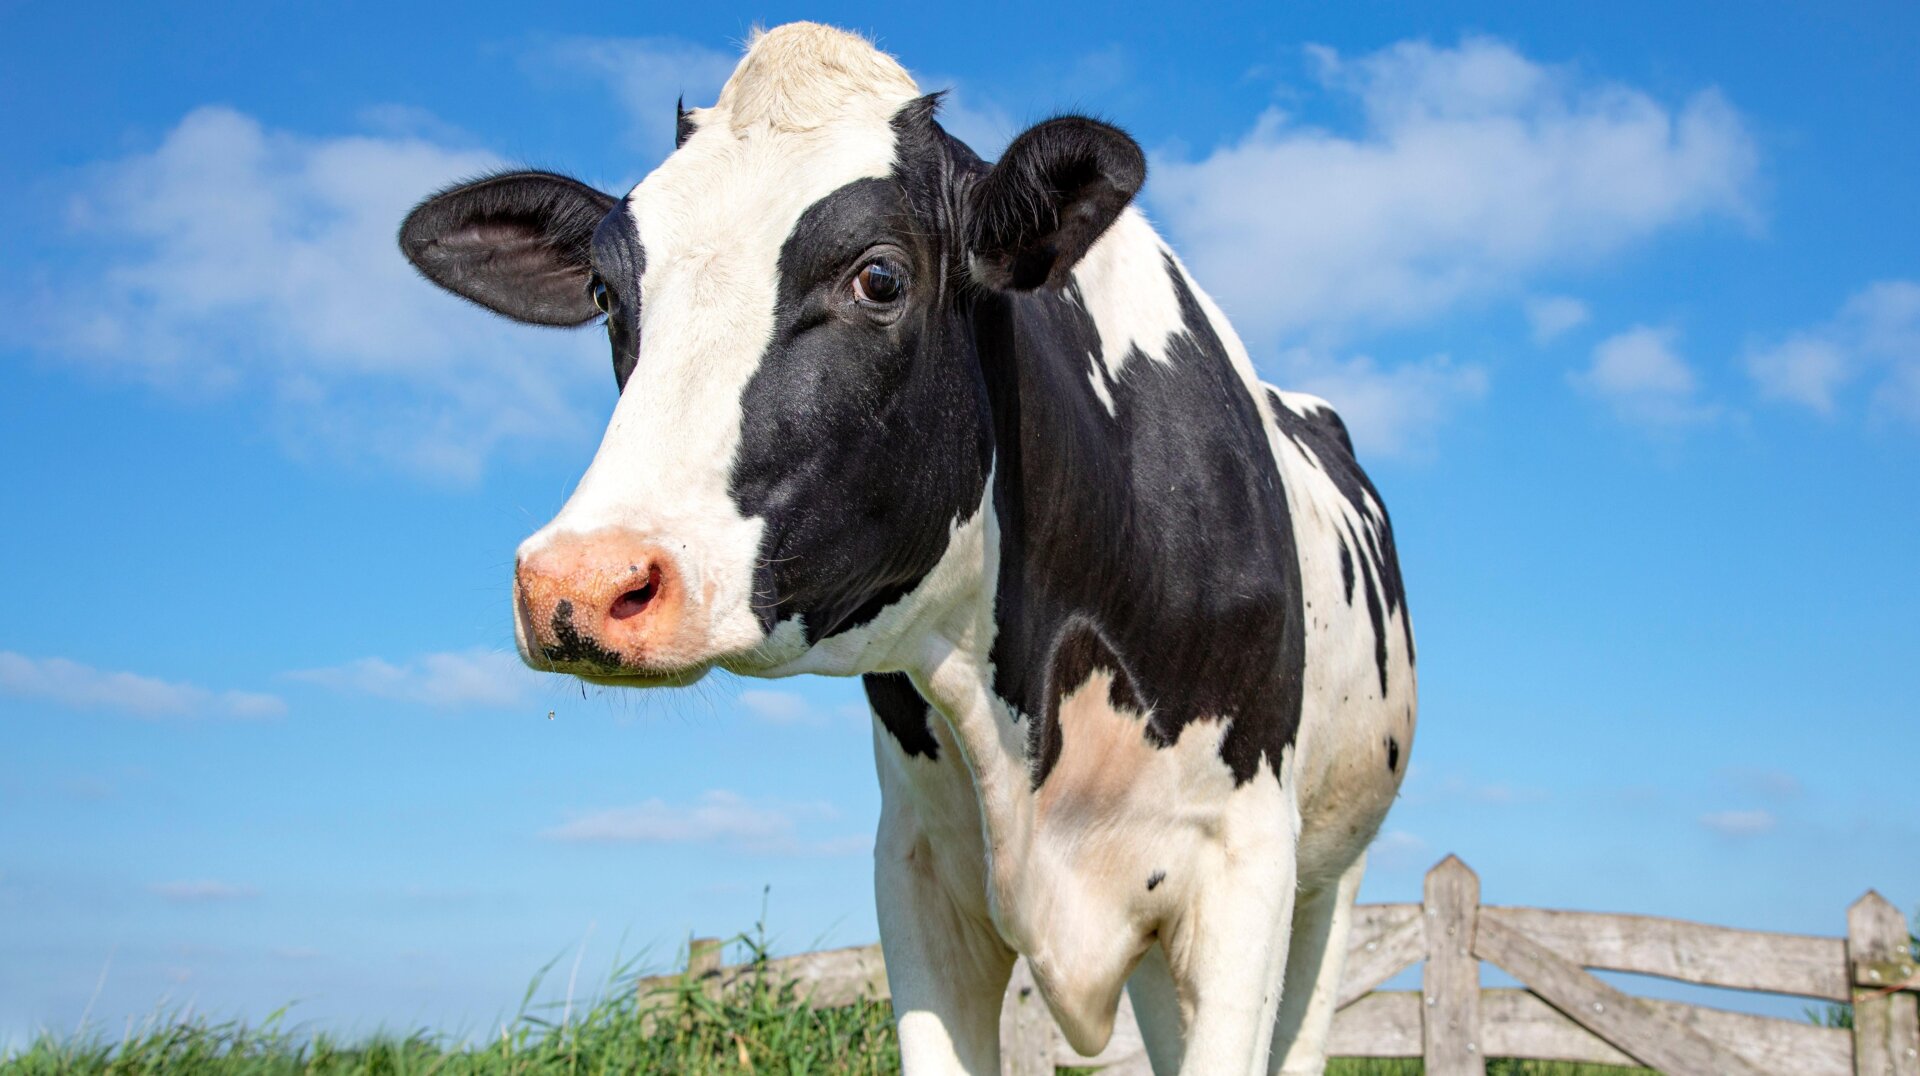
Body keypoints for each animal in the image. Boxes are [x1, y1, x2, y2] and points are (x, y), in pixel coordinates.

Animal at [399, 23, 1415, 1075]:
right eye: (606, 291)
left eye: (878, 276)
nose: (580, 580)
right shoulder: (917, 870)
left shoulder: (1245, 866)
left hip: (1329, 882)